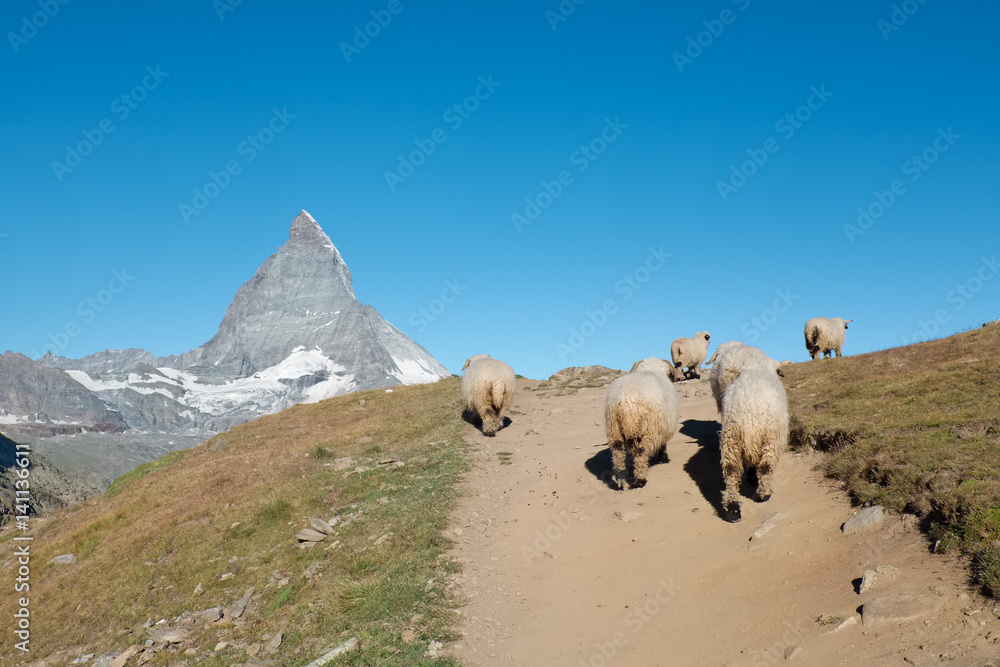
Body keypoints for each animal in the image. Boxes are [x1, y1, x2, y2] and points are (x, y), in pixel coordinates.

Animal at [604, 358, 681, 490]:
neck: (651, 368)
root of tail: (627, 401)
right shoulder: (662, 428)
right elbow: (663, 444)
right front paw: (663, 458)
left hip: (614, 427)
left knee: (618, 452)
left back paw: (621, 479)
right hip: (648, 429)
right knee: (642, 453)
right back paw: (640, 480)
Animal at [719, 365, 789, 522]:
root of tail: (748, 413)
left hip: (730, 438)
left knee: (731, 472)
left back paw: (733, 509)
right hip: (770, 438)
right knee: (765, 467)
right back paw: (764, 494)